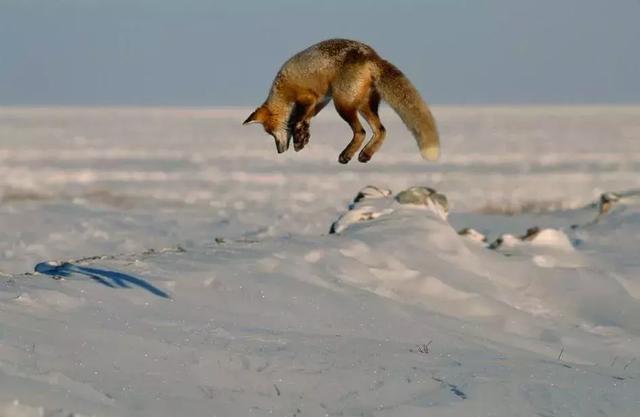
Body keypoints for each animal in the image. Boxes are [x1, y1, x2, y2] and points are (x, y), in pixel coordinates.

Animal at [242, 38, 438, 162]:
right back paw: (365, 154)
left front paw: (299, 138)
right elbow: (305, 120)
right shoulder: (320, 101)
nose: (279, 151)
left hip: (343, 105)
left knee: (361, 132)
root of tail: (371, 56)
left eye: (271, 132)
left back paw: (346, 155)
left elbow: (298, 119)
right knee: (381, 130)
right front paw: (302, 138)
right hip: (364, 106)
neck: (282, 91)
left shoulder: (307, 97)